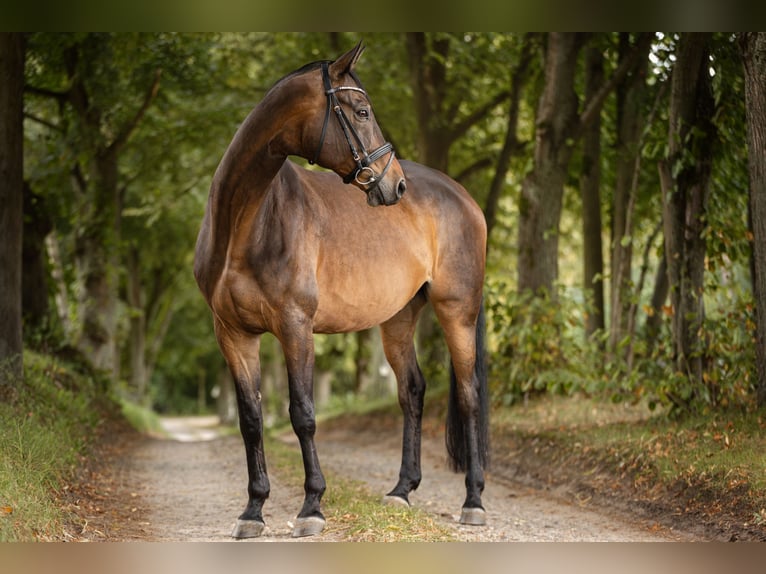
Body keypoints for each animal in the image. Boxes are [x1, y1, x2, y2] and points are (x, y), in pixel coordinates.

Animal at [194, 42, 489, 539]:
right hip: (398, 318)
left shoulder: (295, 326)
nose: (396, 183)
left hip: (457, 311)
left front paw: (312, 506)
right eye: (362, 111)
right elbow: (251, 420)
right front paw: (253, 510)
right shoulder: (232, 334)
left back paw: (473, 500)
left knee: (468, 396)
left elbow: (303, 414)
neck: (247, 223)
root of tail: (465, 199)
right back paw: (401, 490)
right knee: (412, 390)